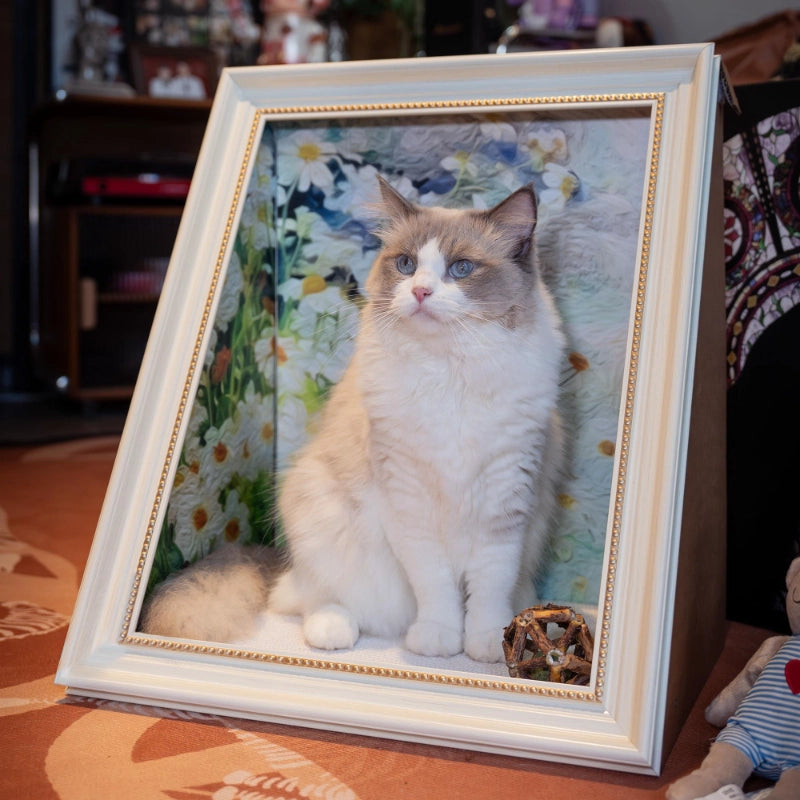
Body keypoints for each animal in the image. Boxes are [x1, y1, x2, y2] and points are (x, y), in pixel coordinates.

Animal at [140, 177, 565, 664]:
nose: (420, 292)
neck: (447, 371)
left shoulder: (506, 498)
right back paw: (334, 631)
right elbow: (436, 587)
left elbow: (489, 588)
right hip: (316, 504)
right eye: (406, 264)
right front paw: (438, 642)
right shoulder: (409, 500)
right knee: (309, 598)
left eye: (460, 269)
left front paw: (490, 645)